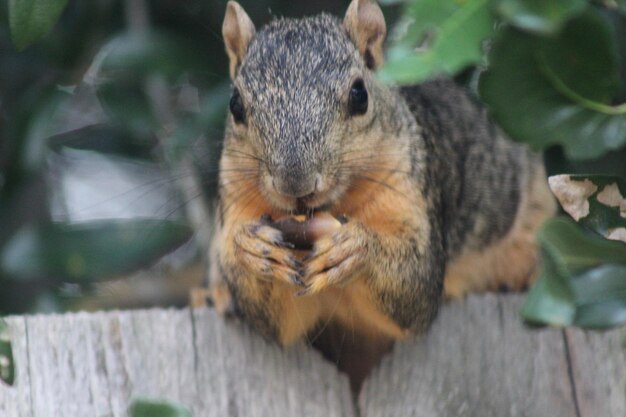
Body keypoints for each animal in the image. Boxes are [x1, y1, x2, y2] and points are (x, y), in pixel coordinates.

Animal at [207, 0, 552, 386]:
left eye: (360, 95)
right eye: (235, 104)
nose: (295, 184)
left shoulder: (412, 189)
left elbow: (417, 287)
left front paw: (357, 248)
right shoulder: (238, 203)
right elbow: (275, 324)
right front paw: (252, 249)